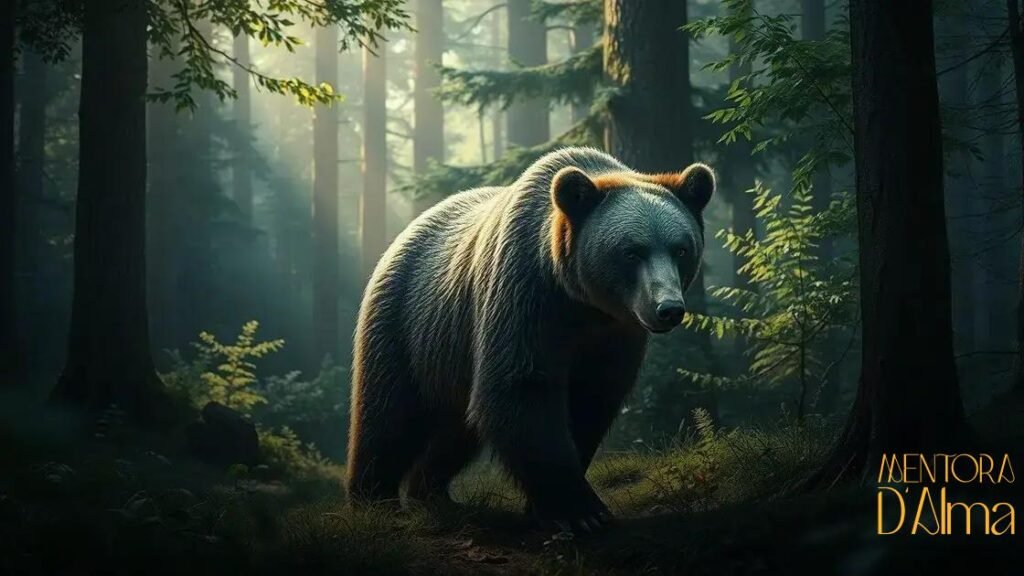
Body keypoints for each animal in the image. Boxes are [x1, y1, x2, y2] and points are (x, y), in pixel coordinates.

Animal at [346, 146, 715, 532]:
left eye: (681, 249)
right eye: (632, 251)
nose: (668, 308)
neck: (583, 303)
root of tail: (405, 234)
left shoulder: (614, 335)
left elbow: (592, 401)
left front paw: (552, 505)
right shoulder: (525, 295)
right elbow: (520, 388)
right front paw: (581, 511)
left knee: (456, 431)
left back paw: (433, 493)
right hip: (406, 325)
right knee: (387, 417)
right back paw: (374, 500)